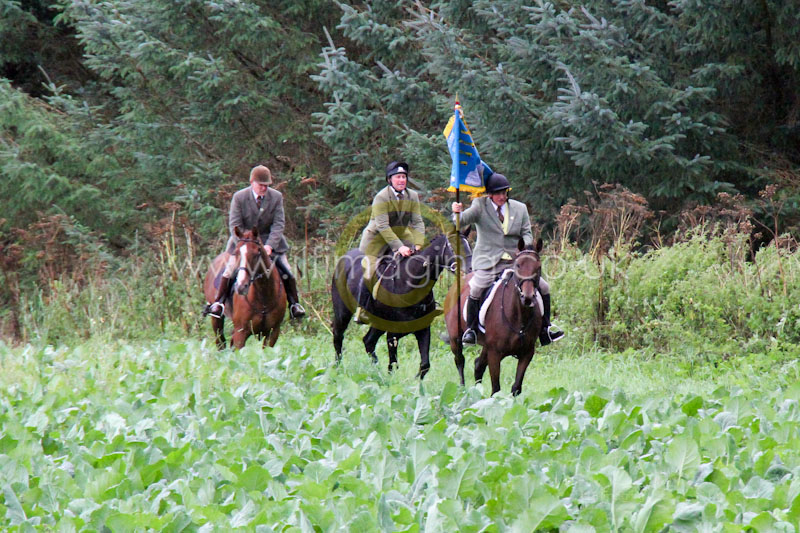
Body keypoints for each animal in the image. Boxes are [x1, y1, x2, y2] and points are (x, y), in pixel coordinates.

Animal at [332, 234, 468, 378]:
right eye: (454, 247)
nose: (470, 269)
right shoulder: (394, 332)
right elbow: (393, 363)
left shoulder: (423, 328)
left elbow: (425, 365)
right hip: (342, 313)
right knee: (338, 336)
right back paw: (338, 368)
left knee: (368, 341)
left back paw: (376, 371)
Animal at [444, 238, 544, 394]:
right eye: (518, 265)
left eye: (538, 267)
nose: (527, 297)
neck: (519, 316)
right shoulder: (495, 354)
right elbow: (496, 389)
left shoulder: (527, 353)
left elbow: (516, 387)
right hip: (456, 339)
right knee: (460, 361)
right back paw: (462, 390)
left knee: (478, 365)